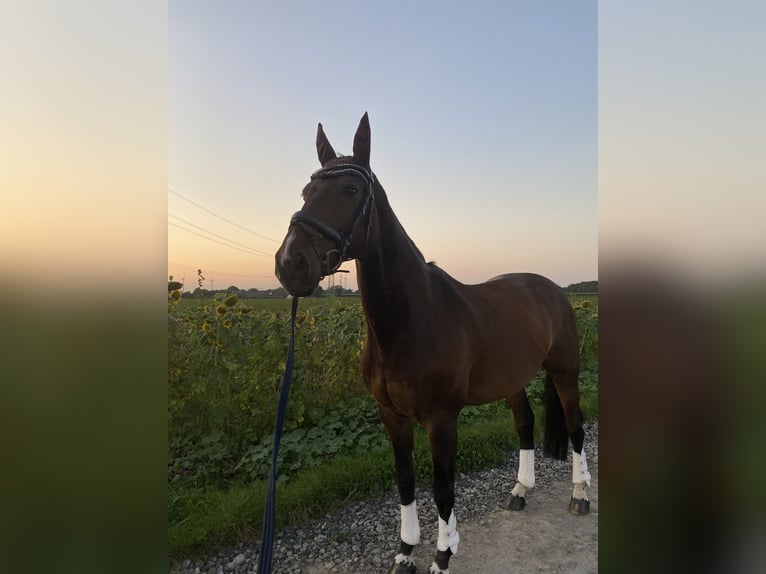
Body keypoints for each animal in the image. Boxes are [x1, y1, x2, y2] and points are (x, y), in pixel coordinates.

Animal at [275, 113, 591, 574]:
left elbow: (443, 487)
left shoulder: (442, 420)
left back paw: (580, 494)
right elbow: (405, 481)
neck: (409, 321)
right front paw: (406, 550)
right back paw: (519, 491)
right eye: (306, 192)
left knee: (575, 425)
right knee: (525, 423)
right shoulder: (392, 416)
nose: (290, 264)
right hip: (512, 380)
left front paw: (443, 554)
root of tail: (550, 289)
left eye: (351, 190)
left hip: (565, 371)